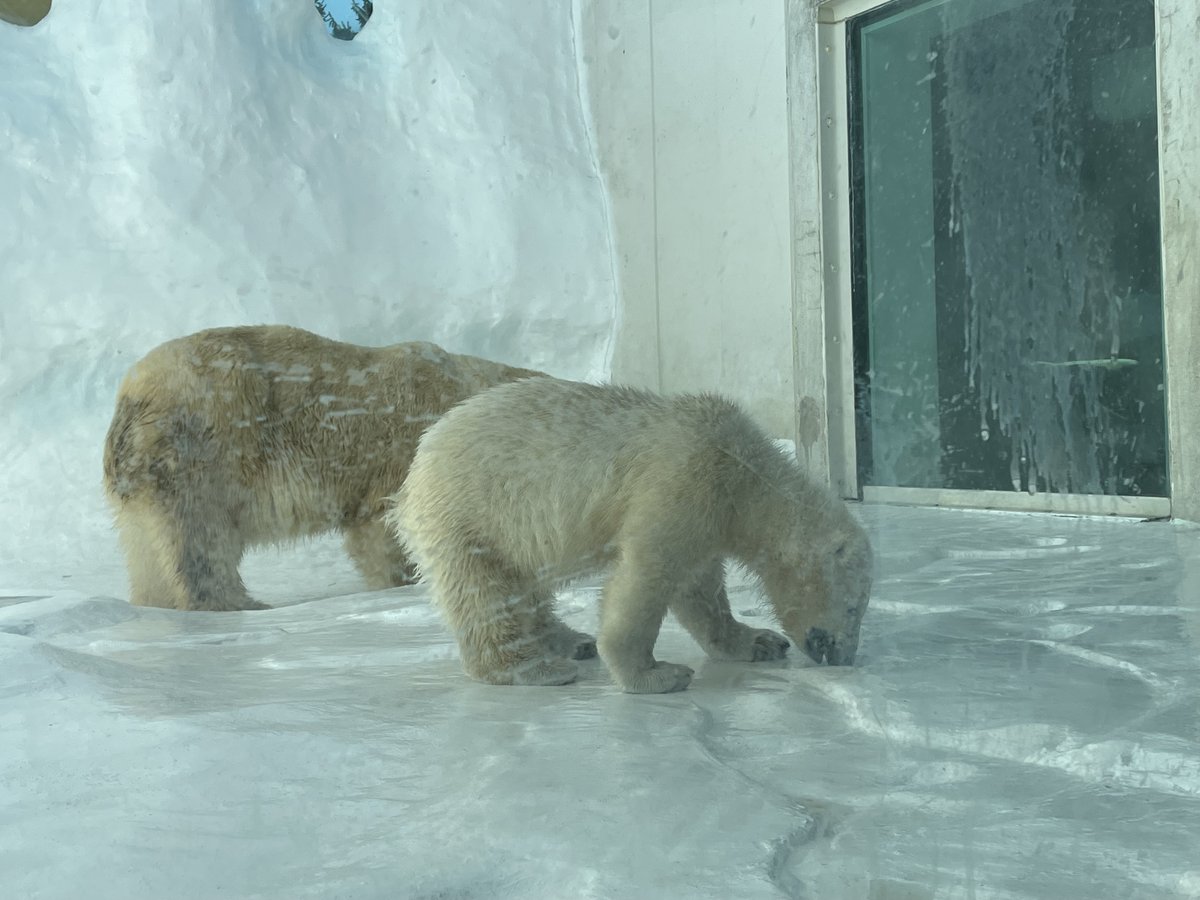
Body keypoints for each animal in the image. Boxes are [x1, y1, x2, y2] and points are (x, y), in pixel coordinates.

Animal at [103, 325, 543, 611]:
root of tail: (130, 398)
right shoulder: (401, 451)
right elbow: (384, 527)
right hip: (205, 447)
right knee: (202, 536)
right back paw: (239, 602)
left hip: (143, 483)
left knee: (146, 549)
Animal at [386, 377, 872, 694]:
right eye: (853, 608)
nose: (842, 656)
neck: (743, 470)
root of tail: (413, 475)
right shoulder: (683, 481)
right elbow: (647, 573)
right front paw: (658, 675)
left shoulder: (710, 514)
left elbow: (700, 590)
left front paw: (760, 641)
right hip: (471, 514)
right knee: (484, 594)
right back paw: (536, 669)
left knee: (526, 587)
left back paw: (571, 641)